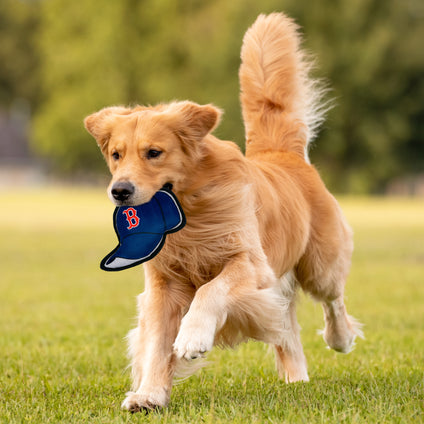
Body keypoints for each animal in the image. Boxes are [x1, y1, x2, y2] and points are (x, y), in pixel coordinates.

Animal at [84, 12, 362, 410]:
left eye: (154, 153)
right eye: (116, 154)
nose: (119, 191)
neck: (189, 215)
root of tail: (281, 153)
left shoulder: (250, 263)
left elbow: (210, 290)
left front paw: (193, 336)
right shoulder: (162, 284)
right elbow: (156, 343)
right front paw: (150, 393)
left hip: (319, 264)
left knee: (333, 299)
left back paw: (340, 338)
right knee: (288, 329)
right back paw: (296, 378)